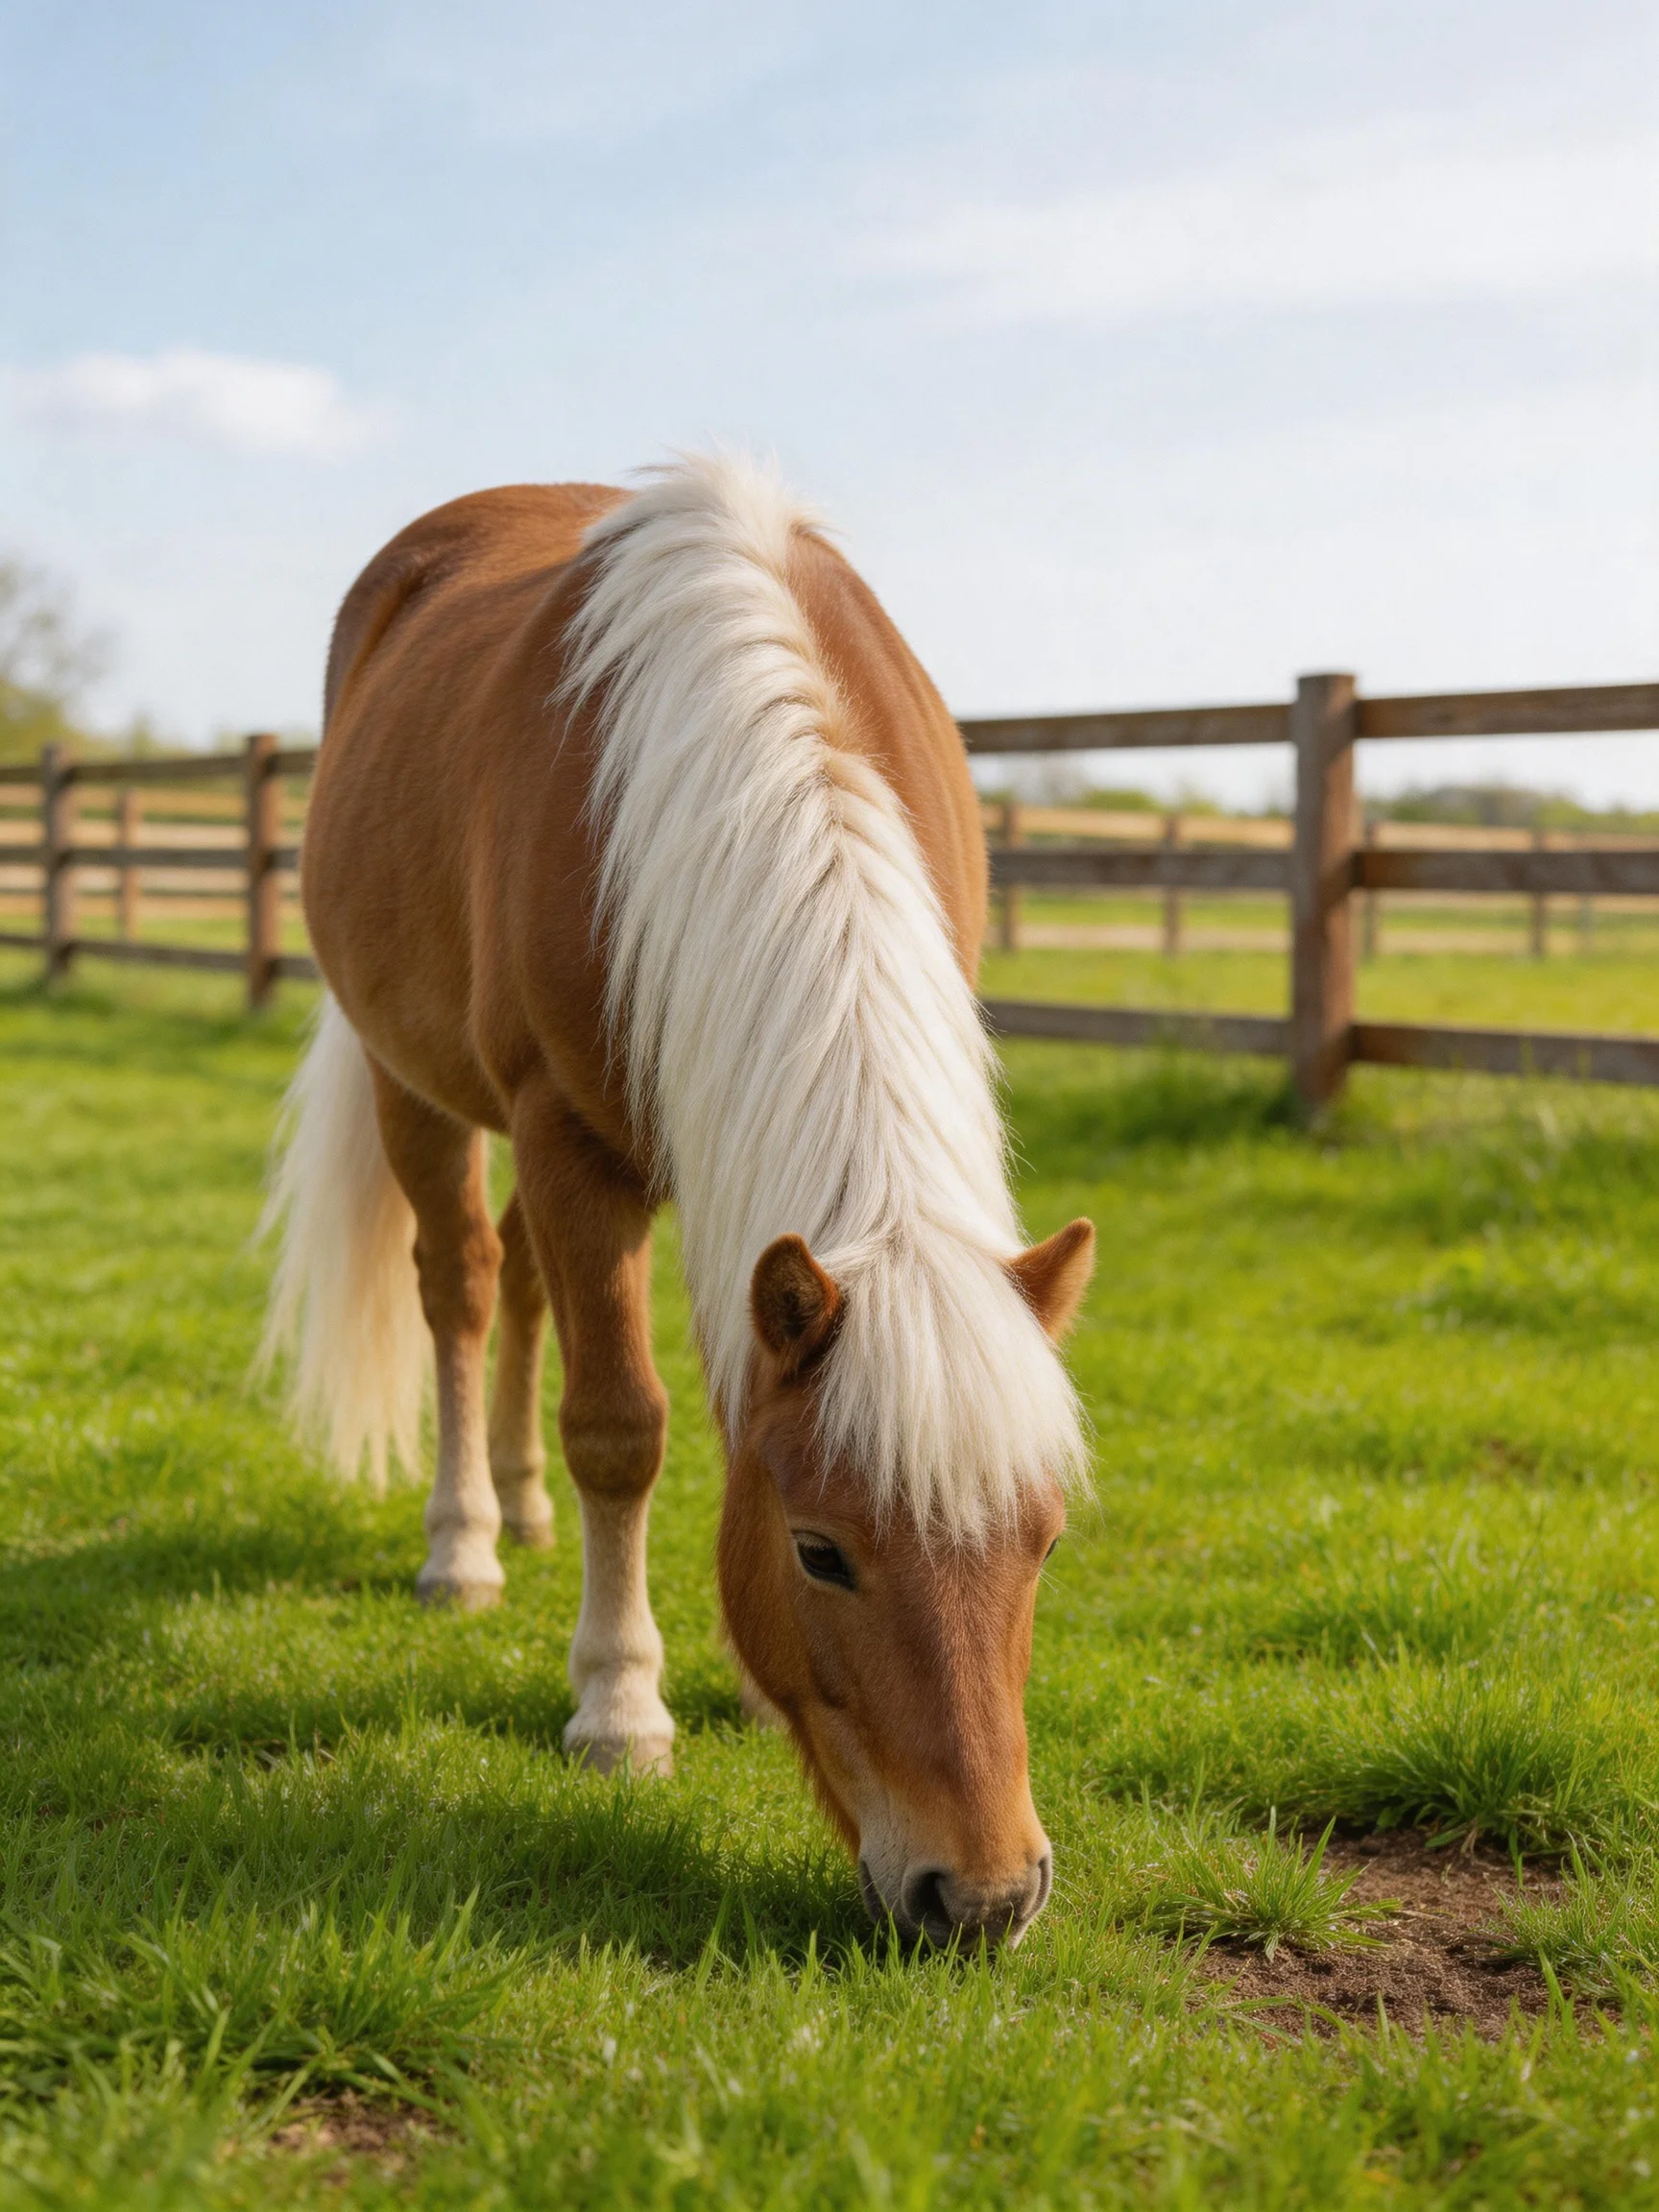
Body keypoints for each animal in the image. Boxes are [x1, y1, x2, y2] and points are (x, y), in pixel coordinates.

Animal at [262, 454, 1095, 1949]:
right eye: (820, 1553)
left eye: (1044, 1541)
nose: (983, 1899)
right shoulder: (564, 1135)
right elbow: (621, 1432)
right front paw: (619, 1708)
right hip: (416, 1084)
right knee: (463, 1285)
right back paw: (467, 1548)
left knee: (524, 1285)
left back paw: (523, 1511)